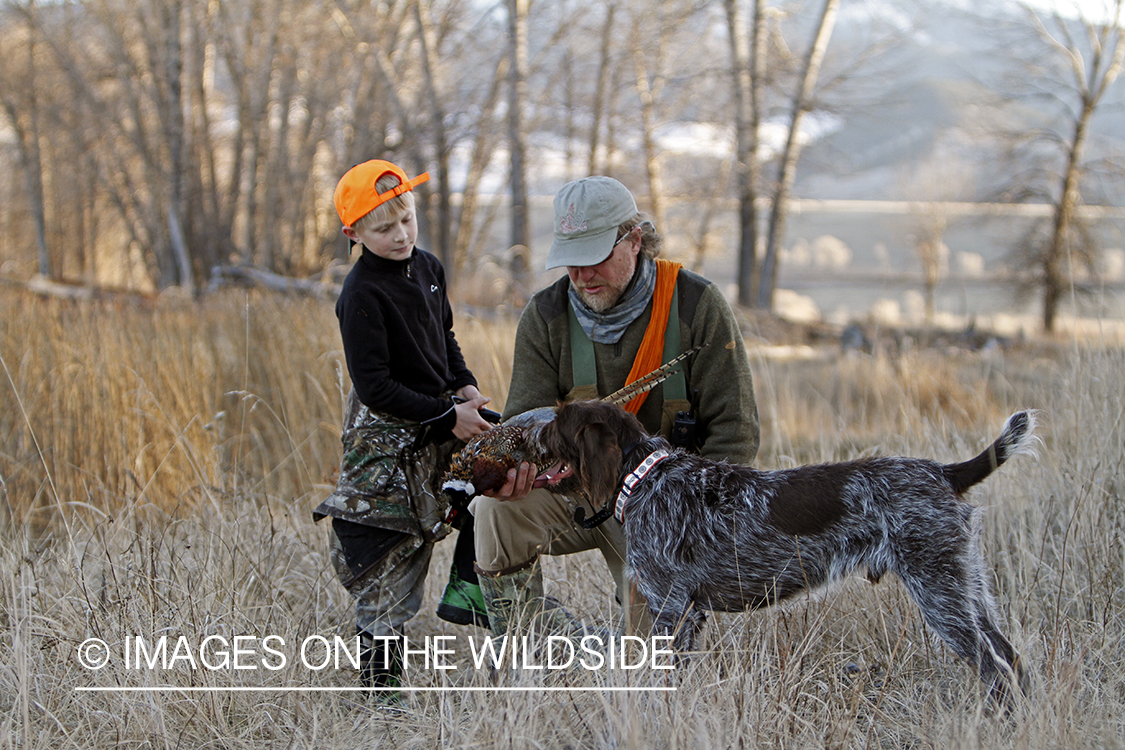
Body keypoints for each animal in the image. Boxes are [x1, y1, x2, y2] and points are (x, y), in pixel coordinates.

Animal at [531, 402, 1030, 706]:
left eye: (558, 422)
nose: (528, 433)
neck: (647, 477)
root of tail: (943, 472)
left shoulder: (673, 609)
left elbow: (666, 676)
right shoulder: (686, 613)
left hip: (939, 591)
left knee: (995, 668)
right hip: (966, 588)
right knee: (1012, 658)